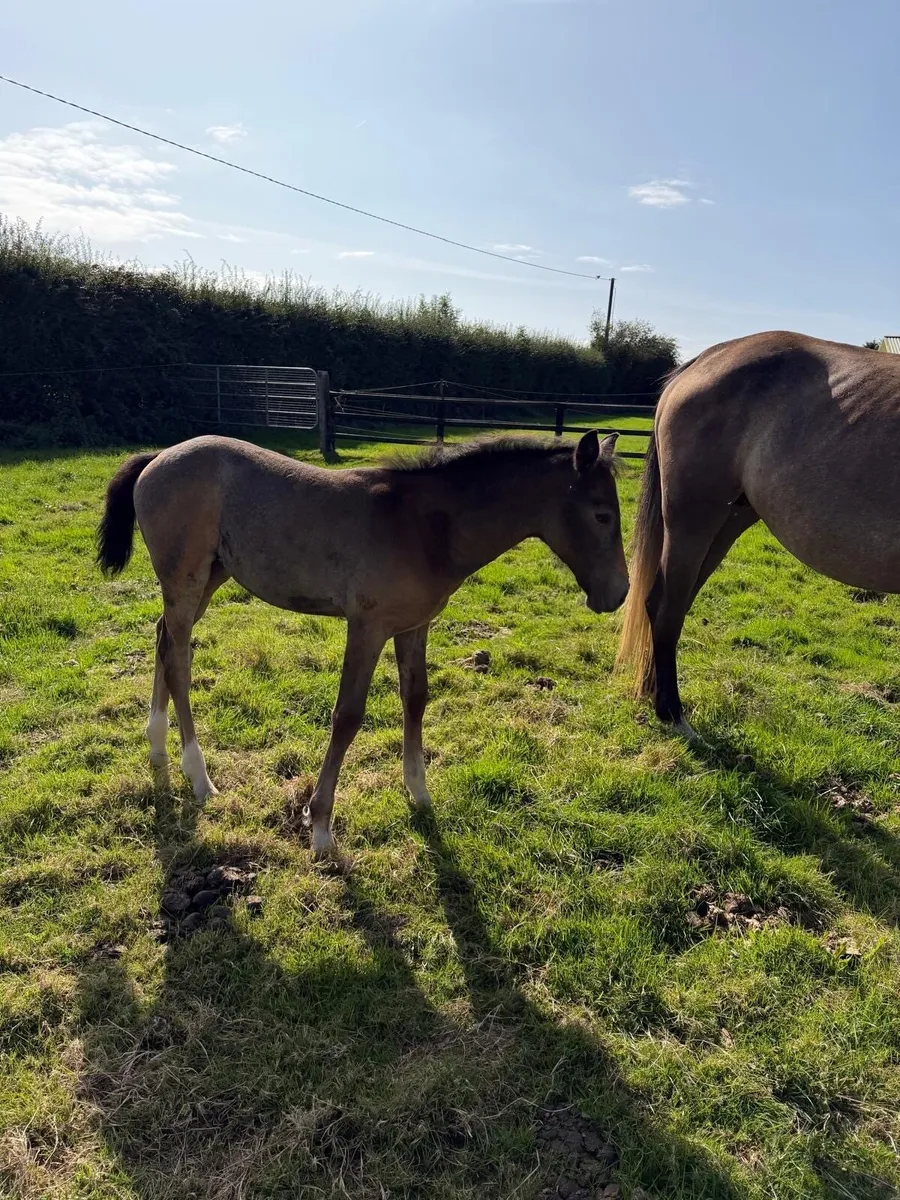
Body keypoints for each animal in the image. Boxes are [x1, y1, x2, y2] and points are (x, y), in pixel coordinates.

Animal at [97, 431, 628, 856]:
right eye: (602, 515)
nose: (619, 593)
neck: (424, 525)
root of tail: (159, 456)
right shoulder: (367, 627)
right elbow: (348, 715)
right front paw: (320, 826)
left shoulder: (414, 627)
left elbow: (416, 698)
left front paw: (419, 792)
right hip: (186, 579)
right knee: (179, 658)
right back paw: (198, 774)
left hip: (211, 576)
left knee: (165, 640)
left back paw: (158, 746)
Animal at [617, 330, 900, 739]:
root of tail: (705, 358)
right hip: (692, 520)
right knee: (665, 607)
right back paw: (671, 712)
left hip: (726, 522)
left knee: (675, 604)